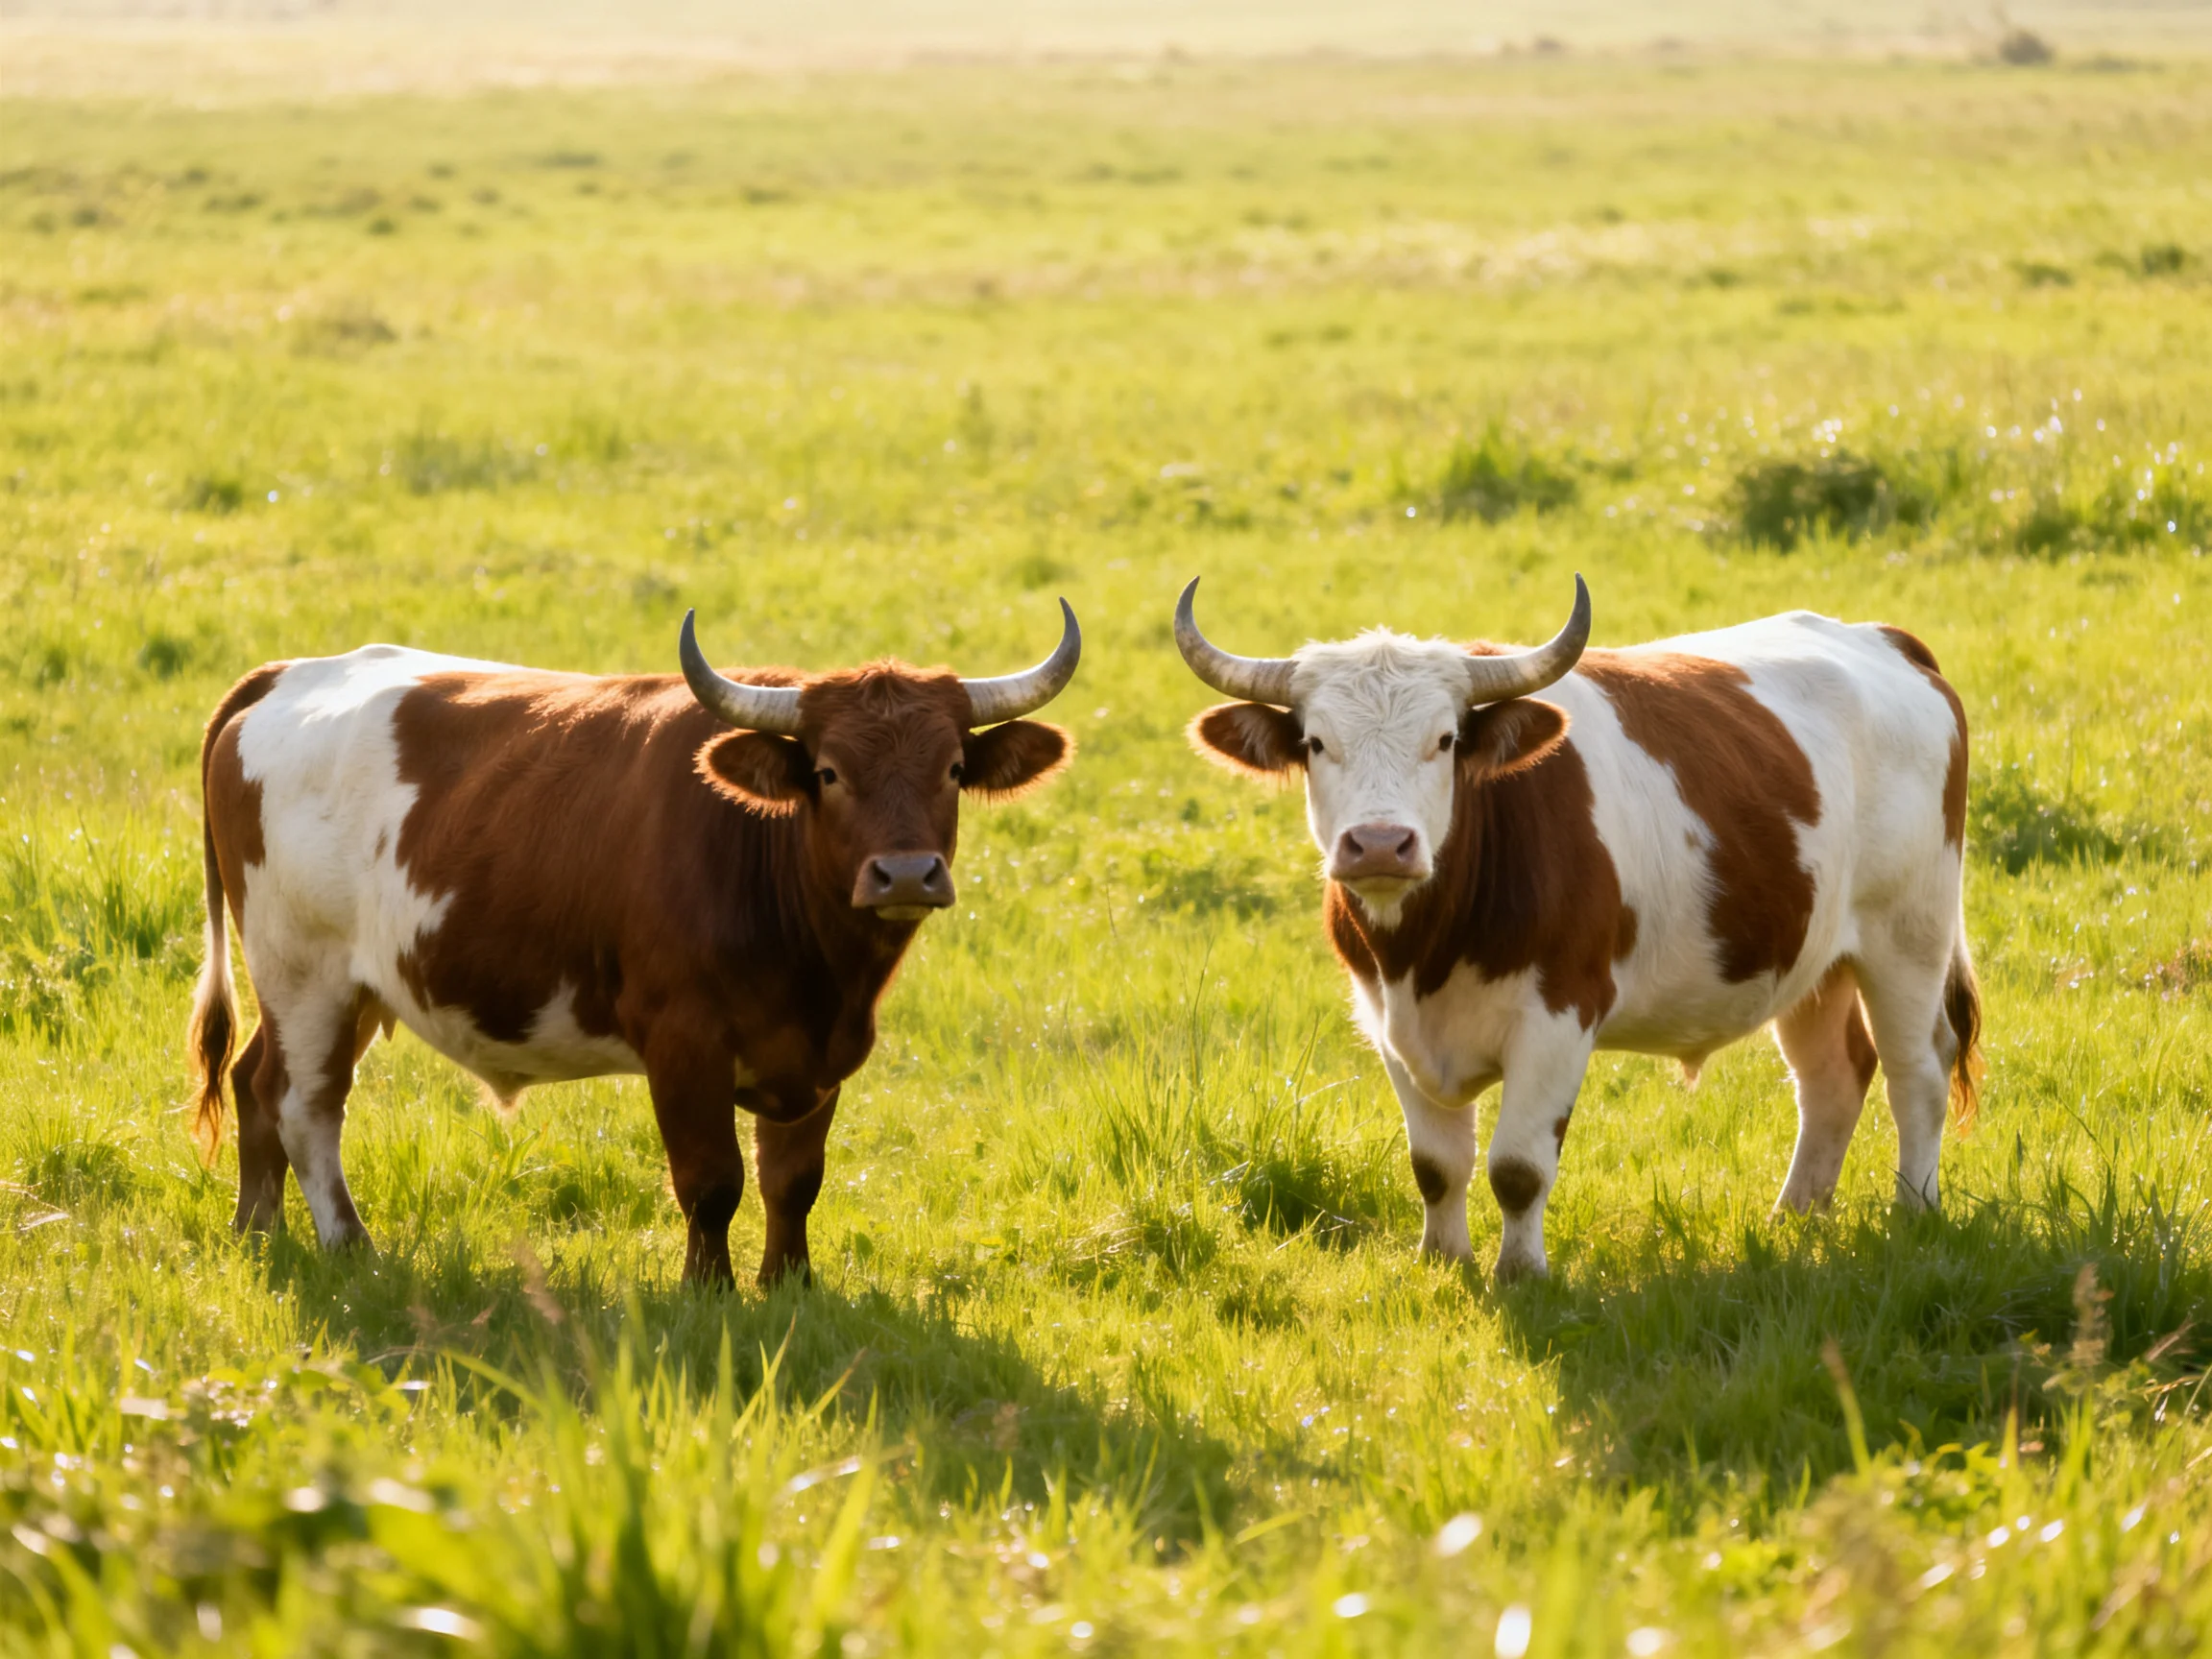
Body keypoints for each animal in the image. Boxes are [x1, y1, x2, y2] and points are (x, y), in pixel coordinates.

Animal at [186, 603, 1081, 1286]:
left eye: (955, 767)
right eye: (828, 772)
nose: (905, 873)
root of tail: (291, 673)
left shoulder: (817, 1056)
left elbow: (794, 1180)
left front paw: (789, 1286)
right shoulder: (683, 1043)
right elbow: (712, 1182)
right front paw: (709, 1292)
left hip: (353, 985)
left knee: (254, 1083)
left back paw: (257, 1234)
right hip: (306, 972)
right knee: (303, 1104)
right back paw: (350, 1247)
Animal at [1174, 575, 1980, 1283]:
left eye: (1445, 740)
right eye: (1316, 743)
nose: (1378, 844)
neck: (1427, 951)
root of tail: (1885, 640)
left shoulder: (1560, 1016)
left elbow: (1517, 1168)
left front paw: (1522, 1273)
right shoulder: (1386, 1023)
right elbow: (1436, 1166)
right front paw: (1443, 1262)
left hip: (1908, 936)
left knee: (1917, 1071)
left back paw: (1913, 1213)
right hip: (1813, 958)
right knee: (1832, 1078)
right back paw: (1795, 1220)